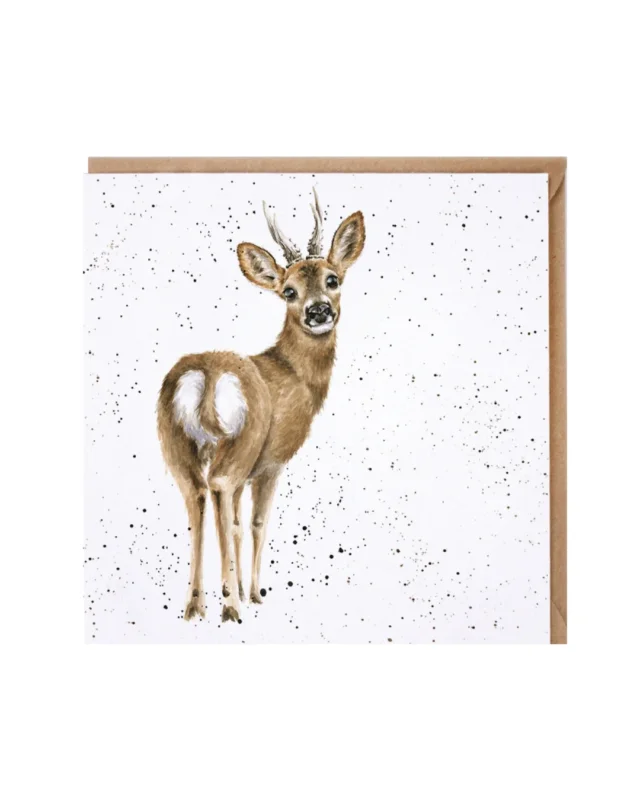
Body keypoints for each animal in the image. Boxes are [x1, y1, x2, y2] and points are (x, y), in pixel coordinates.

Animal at [157, 190, 365, 622]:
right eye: (289, 291)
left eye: (332, 279)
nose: (319, 310)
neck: (294, 376)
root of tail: (208, 373)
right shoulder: (271, 461)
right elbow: (255, 523)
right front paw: (251, 594)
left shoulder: (249, 469)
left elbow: (234, 522)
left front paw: (236, 589)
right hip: (243, 440)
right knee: (217, 487)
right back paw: (230, 607)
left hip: (176, 444)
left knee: (196, 496)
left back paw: (195, 606)